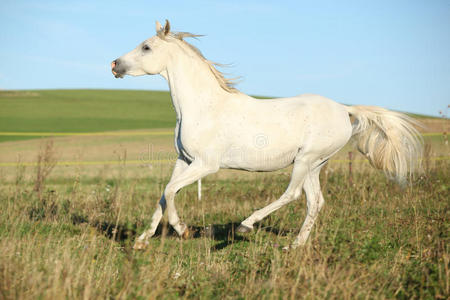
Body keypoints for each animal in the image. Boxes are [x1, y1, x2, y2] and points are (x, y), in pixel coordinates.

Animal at [111, 21, 422, 250]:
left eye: (146, 47)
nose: (114, 65)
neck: (204, 105)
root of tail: (344, 109)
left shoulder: (205, 165)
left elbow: (170, 191)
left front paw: (182, 229)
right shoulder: (184, 160)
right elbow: (164, 194)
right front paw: (141, 240)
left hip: (305, 160)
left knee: (292, 194)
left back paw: (246, 224)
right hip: (315, 164)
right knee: (315, 202)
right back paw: (294, 246)